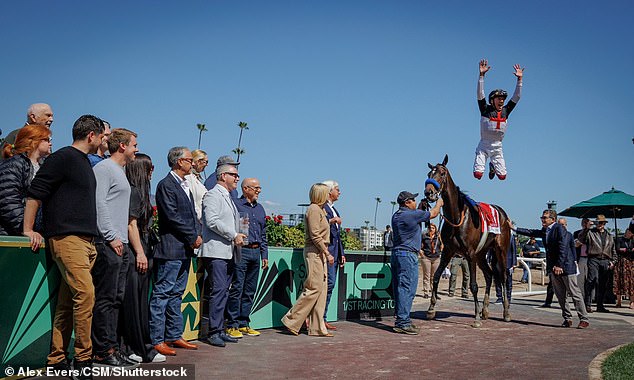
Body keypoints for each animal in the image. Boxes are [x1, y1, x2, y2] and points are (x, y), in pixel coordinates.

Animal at [422, 154, 512, 326]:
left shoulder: (469, 254)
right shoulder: (448, 252)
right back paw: (485, 310)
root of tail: (503, 214)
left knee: (503, 277)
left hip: (500, 250)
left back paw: (505, 312)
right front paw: (430, 309)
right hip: (481, 254)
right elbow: (436, 277)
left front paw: (476, 317)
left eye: (442, 173)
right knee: (490, 275)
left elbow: (474, 285)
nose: (428, 192)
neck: (457, 217)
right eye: (429, 174)